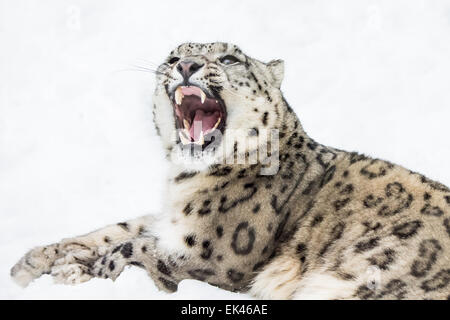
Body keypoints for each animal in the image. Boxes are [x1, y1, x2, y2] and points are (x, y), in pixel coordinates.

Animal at [10, 41, 450, 298]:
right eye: (172, 57)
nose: (185, 65)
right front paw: (33, 261)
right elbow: (118, 229)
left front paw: (72, 269)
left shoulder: (215, 254)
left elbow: (136, 247)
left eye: (227, 58)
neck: (184, 182)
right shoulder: (169, 221)